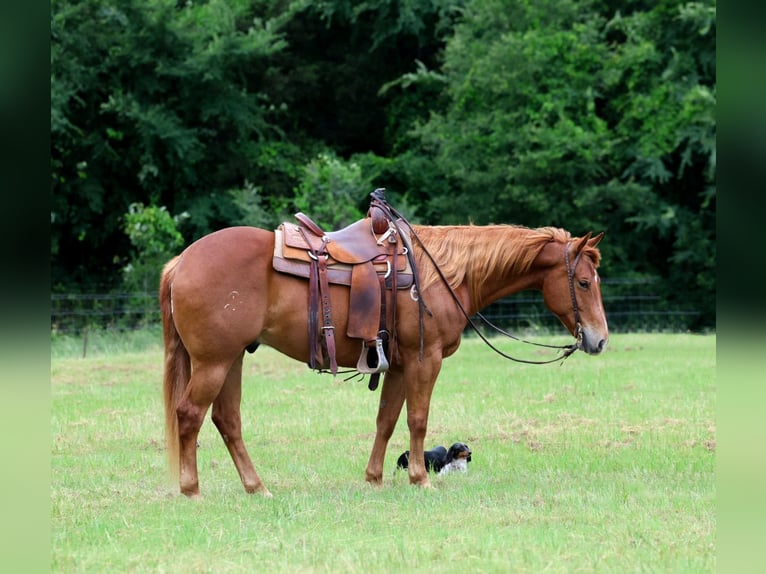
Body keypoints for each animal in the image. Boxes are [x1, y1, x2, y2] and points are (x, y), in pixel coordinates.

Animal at [160, 217, 608, 498]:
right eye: (584, 282)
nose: (600, 340)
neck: (441, 274)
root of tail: (183, 260)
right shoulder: (426, 361)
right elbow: (417, 418)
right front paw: (420, 479)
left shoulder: (398, 364)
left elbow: (387, 419)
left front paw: (374, 478)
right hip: (214, 362)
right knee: (190, 415)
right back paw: (191, 489)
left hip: (232, 359)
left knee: (227, 420)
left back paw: (257, 487)